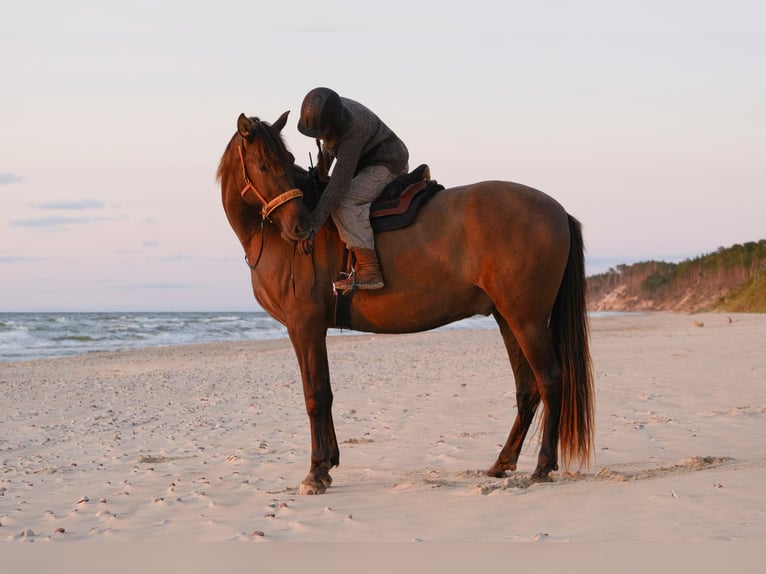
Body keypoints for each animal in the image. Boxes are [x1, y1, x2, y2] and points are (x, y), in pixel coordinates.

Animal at [219, 111, 596, 496]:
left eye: (285, 161)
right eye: (264, 164)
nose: (300, 227)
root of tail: (558, 210)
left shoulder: (305, 327)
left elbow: (316, 396)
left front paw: (316, 472)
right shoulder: (312, 329)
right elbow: (327, 394)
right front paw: (329, 462)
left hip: (527, 321)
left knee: (551, 382)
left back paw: (543, 465)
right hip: (508, 319)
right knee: (527, 390)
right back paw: (502, 462)